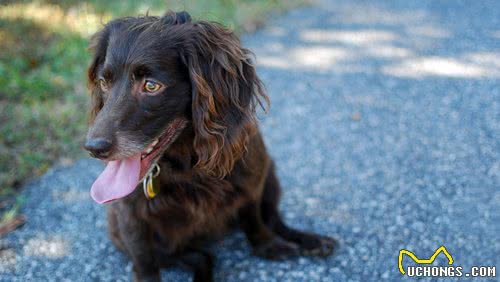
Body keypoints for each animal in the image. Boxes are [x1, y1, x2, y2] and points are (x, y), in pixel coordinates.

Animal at [85, 11, 336, 282]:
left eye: (151, 86)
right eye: (104, 82)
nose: (93, 148)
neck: (187, 163)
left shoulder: (251, 181)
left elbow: (254, 219)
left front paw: (268, 245)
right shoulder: (129, 214)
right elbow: (144, 260)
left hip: (270, 176)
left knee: (273, 219)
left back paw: (310, 240)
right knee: (198, 256)